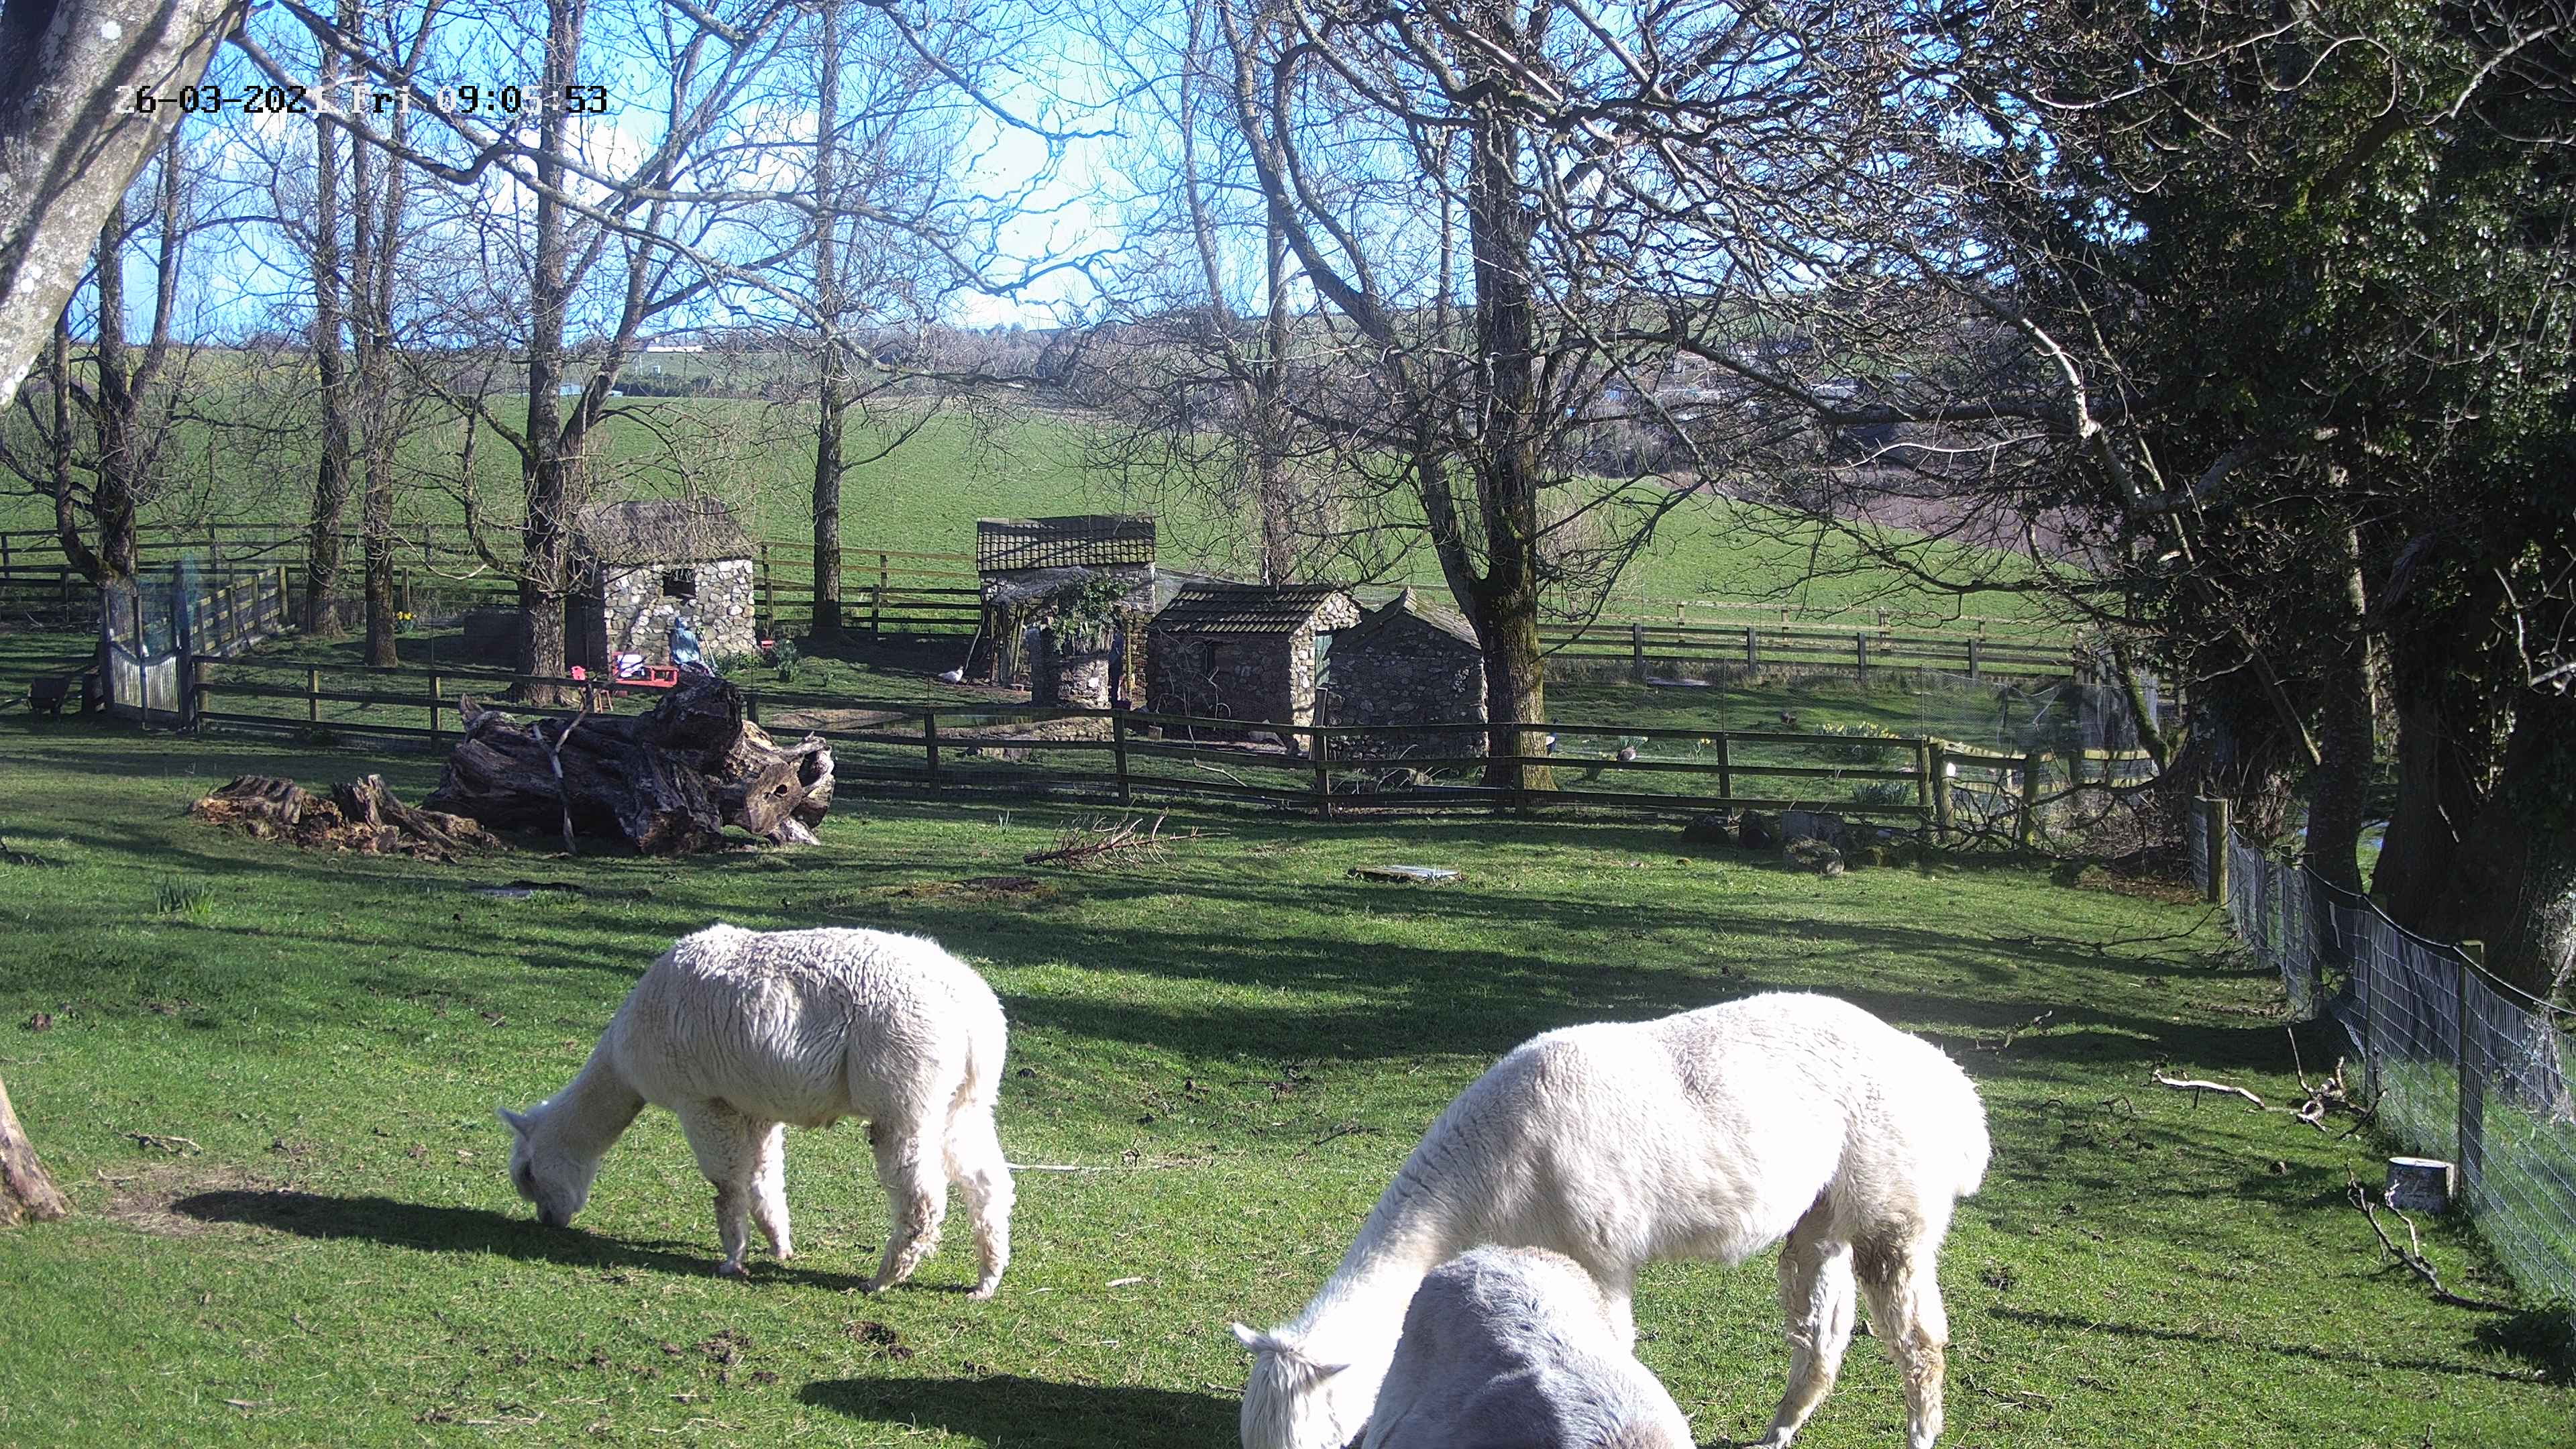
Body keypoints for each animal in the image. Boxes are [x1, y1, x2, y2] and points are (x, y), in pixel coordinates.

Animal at [499, 923, 1014, 1295]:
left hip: (904, 1093)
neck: (624, 1057)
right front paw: (779, 1246)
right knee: (988, 1181)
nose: (547, 1221)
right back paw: (986, 1280)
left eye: (526, 1175)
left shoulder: (700, 1100)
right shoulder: (755, 1104)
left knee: (923, 1198)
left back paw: (882, 1280)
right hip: (964, 1101)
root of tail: (970, 1003)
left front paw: (732, 1259)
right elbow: (764, 1179)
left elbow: (725, 1184)